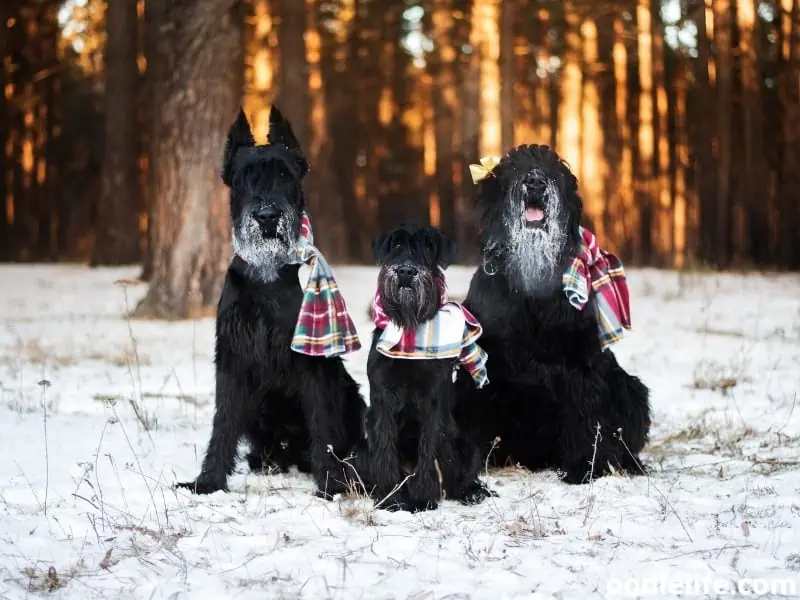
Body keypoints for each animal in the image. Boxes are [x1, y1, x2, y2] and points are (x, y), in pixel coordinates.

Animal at [177, 106, 366, 496]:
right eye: (245, 177)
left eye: (284, 174)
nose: (266, 217)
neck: (267, 273)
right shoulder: (232, 357)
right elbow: (223, 421)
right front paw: (209, 480)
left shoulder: (311, 361)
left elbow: (321, 421)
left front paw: (329, 482)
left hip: (351, 395)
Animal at [364, 225, 494, 510]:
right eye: (396, 245)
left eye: (428, 247)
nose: (405, 271)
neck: (409, 329)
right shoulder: (382, 397)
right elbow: (385, 445)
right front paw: (390, 496)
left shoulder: (433, 399)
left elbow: (428, 446)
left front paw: (423, 497)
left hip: (467, 443)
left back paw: (472, 492)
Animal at [456, 148, 648, 486]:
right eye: (514, 167)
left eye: (557, 170)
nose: (535, 181)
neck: (531, 285)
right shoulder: (481, 365)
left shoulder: (580, 365)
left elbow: (587, 419)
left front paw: (587, 467)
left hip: (631, 388)